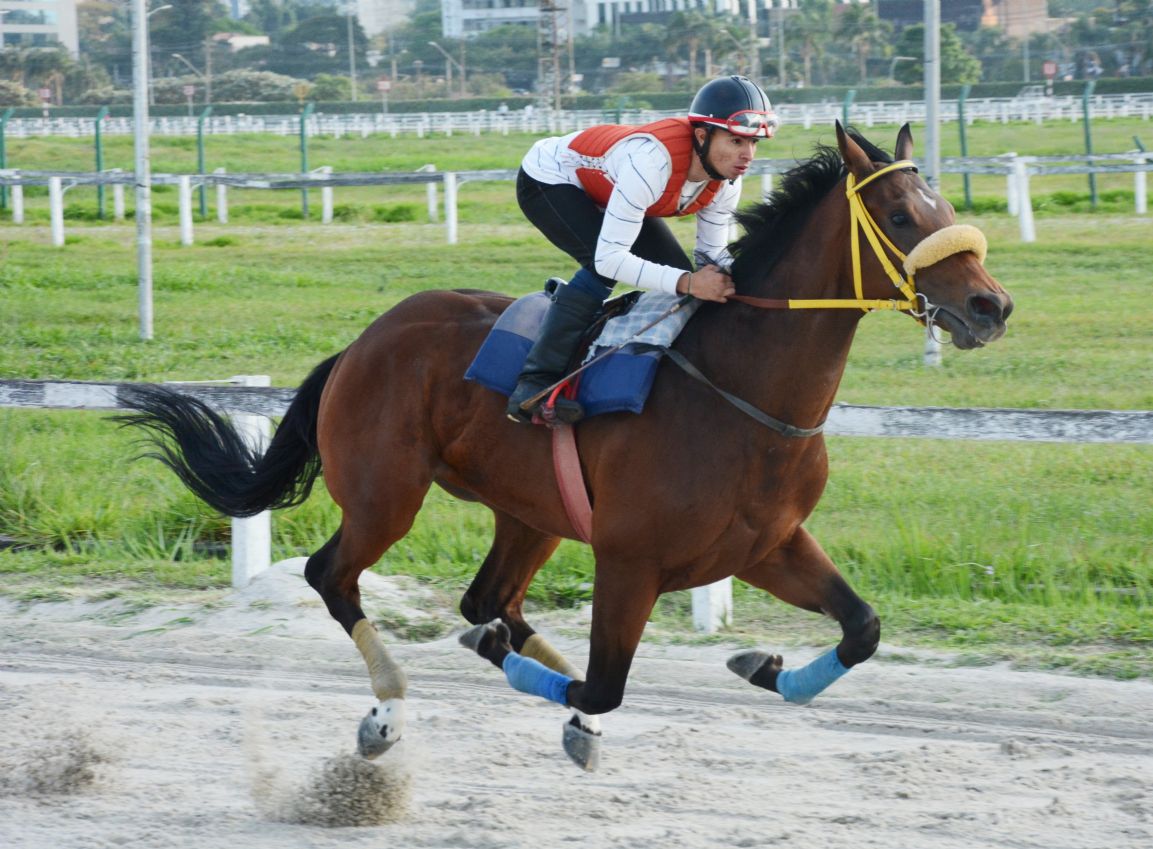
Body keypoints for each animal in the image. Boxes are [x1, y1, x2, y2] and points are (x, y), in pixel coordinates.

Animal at [117, 122, 1013, 772]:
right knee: (333, 576)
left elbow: (860, 626)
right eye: (900, 217)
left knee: (489, 600)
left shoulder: (766, 544)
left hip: (530, 511)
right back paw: (388, 707)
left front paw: (760, 665)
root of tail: (363, 342)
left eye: (940, 209)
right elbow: (605, 681)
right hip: (385, 494)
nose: (990, 305)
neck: (741, 395)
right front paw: (573, 698)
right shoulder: (630, 559)